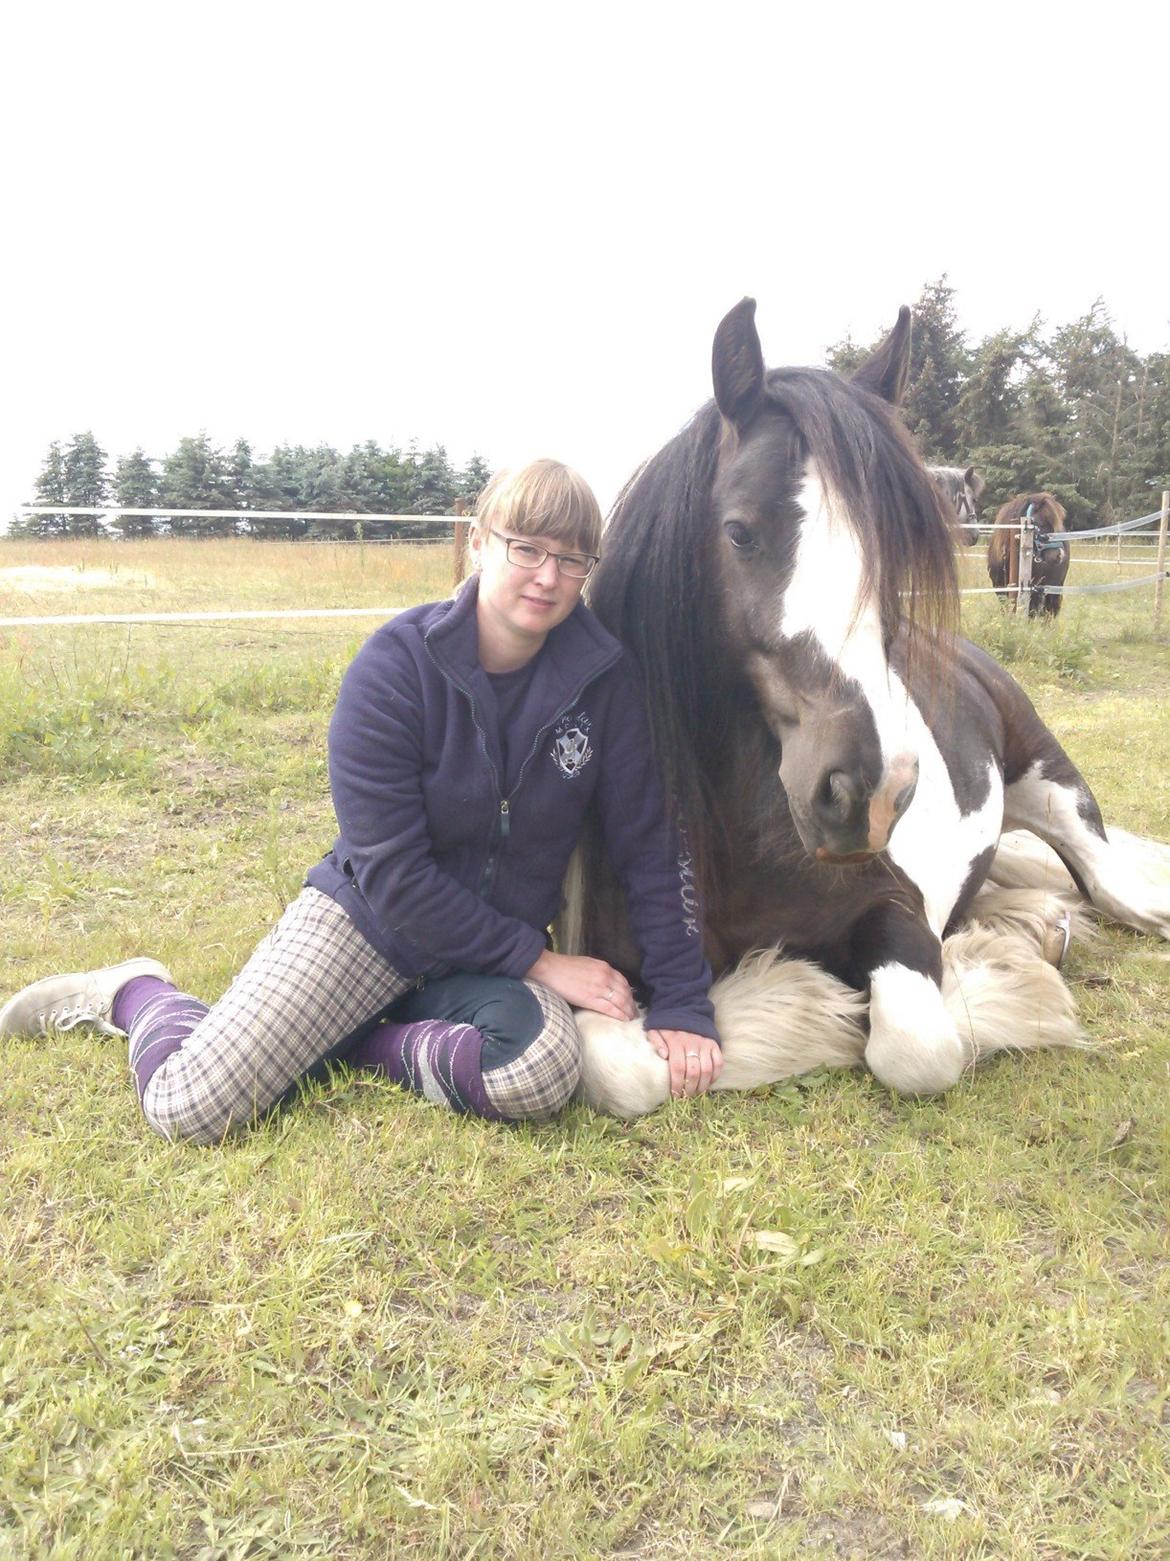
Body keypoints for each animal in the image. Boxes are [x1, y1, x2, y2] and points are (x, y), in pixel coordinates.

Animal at [564, 298, 1166, 1117]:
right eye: (739, 532)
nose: (866, 794)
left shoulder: (895, 912)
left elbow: (917, 1045)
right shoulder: (607, 961)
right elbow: (622, 1067)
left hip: (1051, 785)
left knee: (1106, 878)